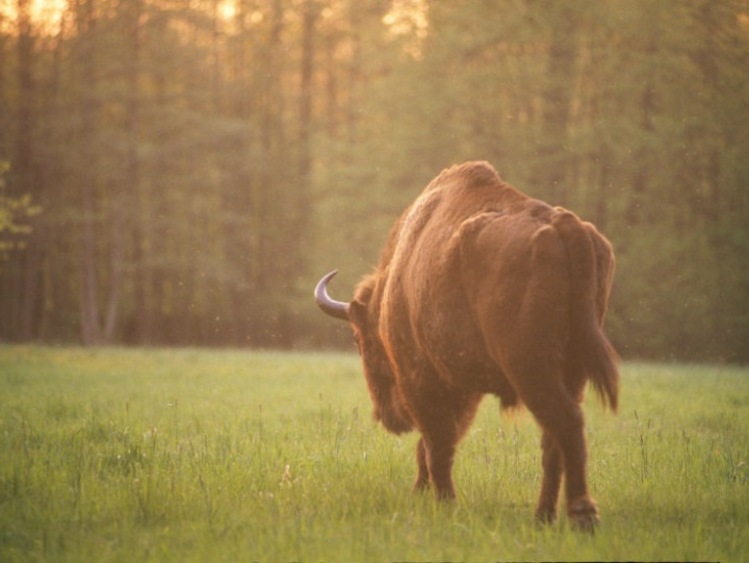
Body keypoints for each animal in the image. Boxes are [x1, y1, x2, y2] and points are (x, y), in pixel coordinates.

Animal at [312, 161, 616, 532]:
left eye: (360, 338)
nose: (386, 417)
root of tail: (563, 223)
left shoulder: (424, 380)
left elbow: (436, 444)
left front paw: (444, 503)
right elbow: (439, 442)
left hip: (531, 369)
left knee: (567, 423)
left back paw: (581, 515)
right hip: (573, 371)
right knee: (553, 440)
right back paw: (542, 516)